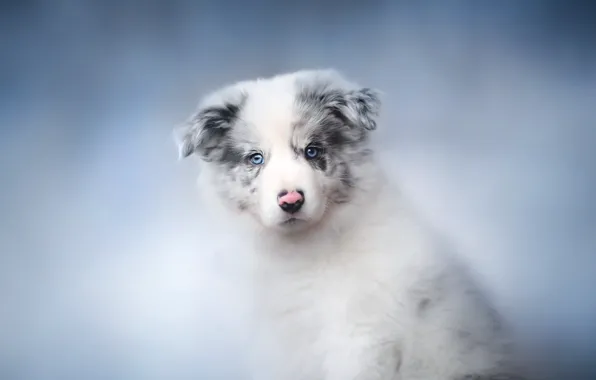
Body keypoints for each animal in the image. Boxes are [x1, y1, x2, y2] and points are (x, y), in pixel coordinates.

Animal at [176, 70, 528, 380]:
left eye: (312, 151)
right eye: (256, 158)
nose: (291, 200)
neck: (306, 251)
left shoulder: (361, 340)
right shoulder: (286, 347)